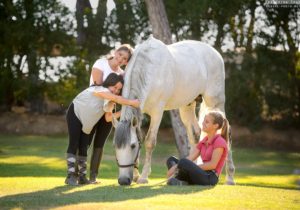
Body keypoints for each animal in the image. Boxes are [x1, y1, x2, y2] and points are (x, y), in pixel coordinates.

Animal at [113, 36, 236, 185]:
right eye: (115, 147)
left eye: (132, 146)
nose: (123, 180)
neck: (150, 69)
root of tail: (216, 53)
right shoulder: (139, 112)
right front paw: (136, 175)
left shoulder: (157, 112)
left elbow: (149, 142)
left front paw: (143, 177)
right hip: (187, 106)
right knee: (195, 134)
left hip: (215, 102)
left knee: (226, 132)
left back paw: (230, 178)